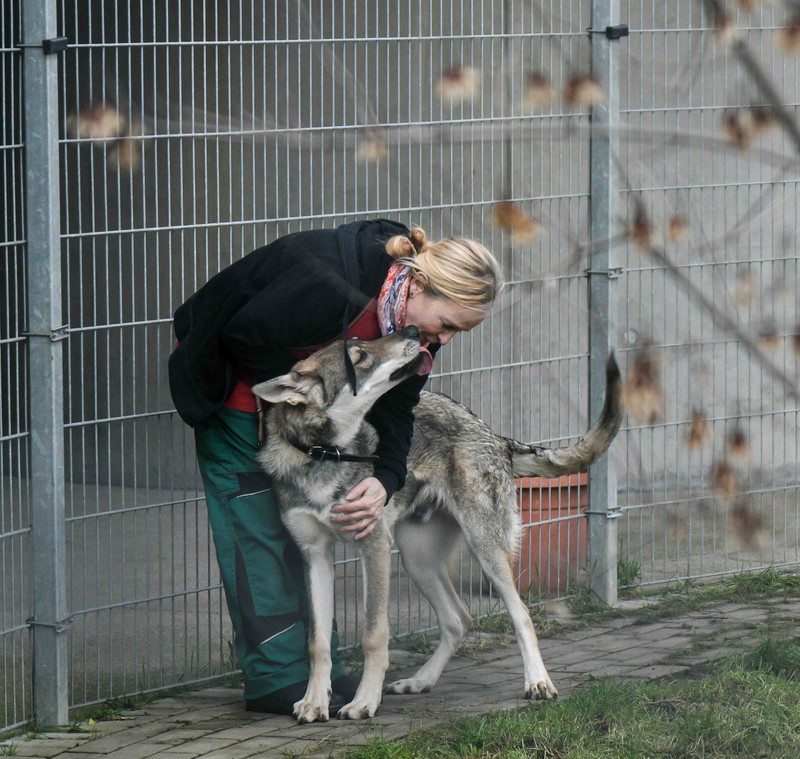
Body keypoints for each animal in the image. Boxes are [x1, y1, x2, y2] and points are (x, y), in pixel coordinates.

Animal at [253, 326, 620, 724]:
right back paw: (420, 681)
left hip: (485, 551)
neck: (324, 455)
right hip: (418, 561)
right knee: (459, 619)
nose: (411, 329)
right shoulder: (315, 555)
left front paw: (364, 701)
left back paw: (537, 683)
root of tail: (493, 433)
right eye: (359, 357)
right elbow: (317, 642)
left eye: (363, 346)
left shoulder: (373, 546)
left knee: (520, 614)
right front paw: (314, 702)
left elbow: (373, 635)